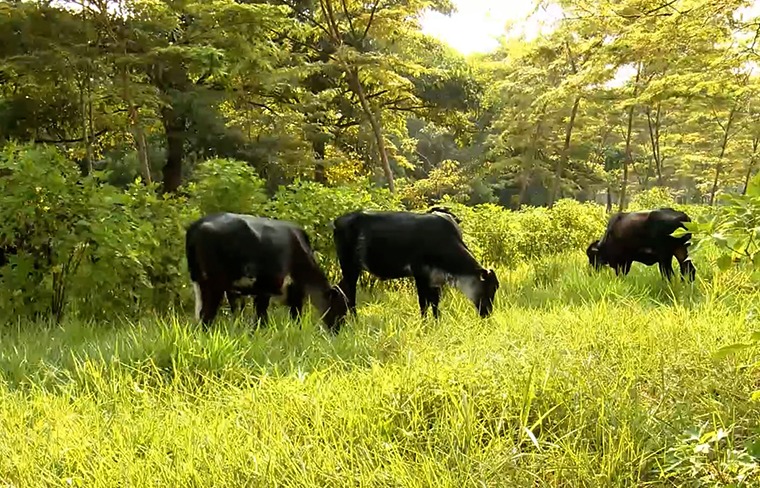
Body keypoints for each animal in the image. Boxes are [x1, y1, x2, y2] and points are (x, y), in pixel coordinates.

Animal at [184, 213, 350, 332]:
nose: (338, 331)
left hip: (199, 280)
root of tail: (196, 226)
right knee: (207, 314)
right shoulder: (268, 286)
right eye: (341, 307)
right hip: (215, 283)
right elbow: (264, 316)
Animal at [332, 208, 498, 318]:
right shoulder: (420, 273)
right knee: (350, 294)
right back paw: (355, 319)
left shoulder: (435, 279)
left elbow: (435, 303)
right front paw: (424, 324)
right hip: (348, 265)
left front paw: (437, 322)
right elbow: (423, 303)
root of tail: (338, 220)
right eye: (488, 288)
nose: (487, 313)